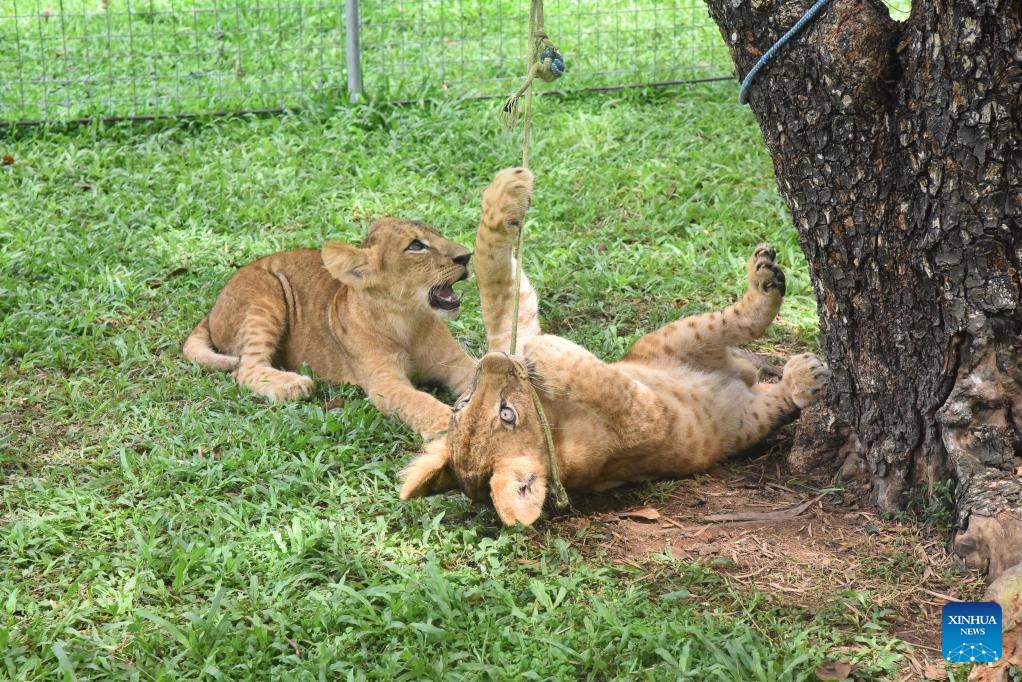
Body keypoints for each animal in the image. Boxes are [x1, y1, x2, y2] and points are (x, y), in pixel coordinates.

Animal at [182, 218, 477, 438]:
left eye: (437, 234)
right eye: (416, 245)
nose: (466, 256)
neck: (408, 321)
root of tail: (212, 309)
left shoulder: (456, 362)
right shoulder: (385, 383)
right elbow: (419, 402)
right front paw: (450, 427)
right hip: (266, 296)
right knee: (245, 369)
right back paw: (292, 385)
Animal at [400, 168, 830, 525]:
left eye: (463, 401)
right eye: (507, 414)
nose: (491, 361)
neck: (555, 419)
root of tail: (739, 376)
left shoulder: (512, 333)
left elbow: (495, 285)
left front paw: (506, 190)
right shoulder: (651, 420)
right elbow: (610, 387)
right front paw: (549, 351)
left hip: (666, 340)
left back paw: (764, 276)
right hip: (713, 387)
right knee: (764, 367)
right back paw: (802, 369)